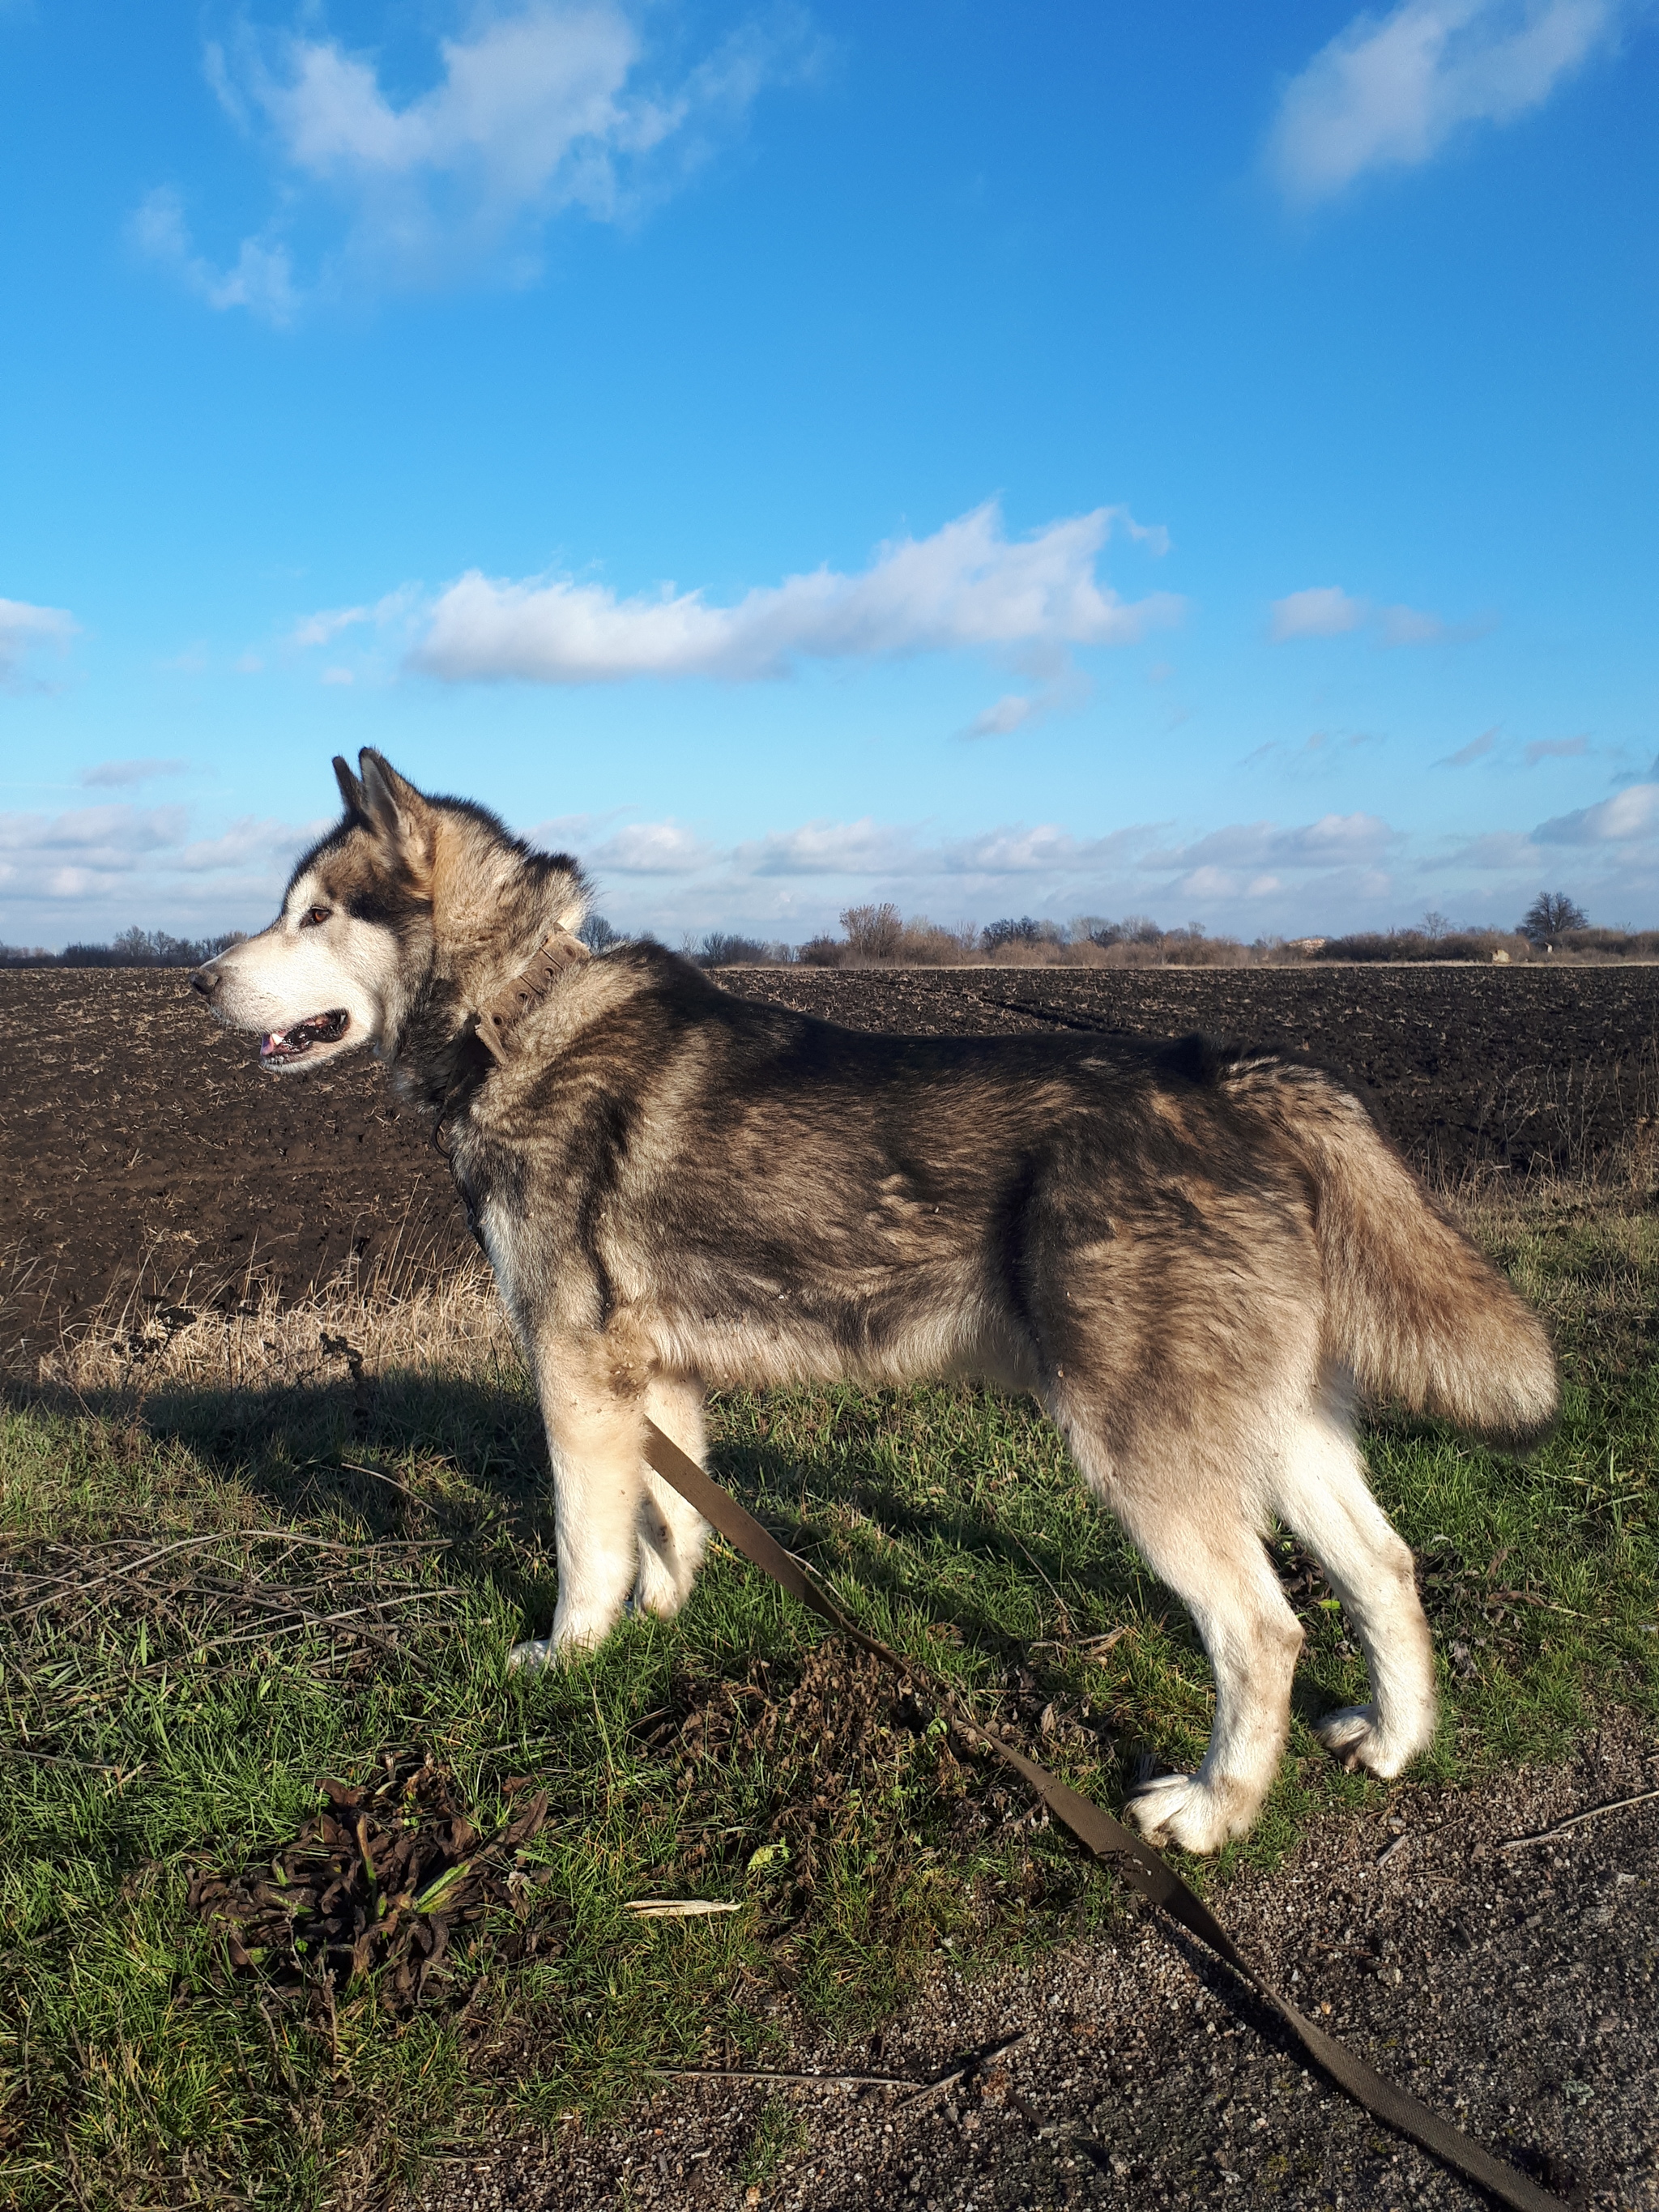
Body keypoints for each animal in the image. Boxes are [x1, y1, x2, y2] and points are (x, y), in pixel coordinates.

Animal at [194, 752, 1557, 1858]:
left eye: (315, 914)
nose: (200, 978)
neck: (513, 1010)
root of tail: (1231, 1076)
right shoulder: (654, 1377)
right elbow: (669, 1522)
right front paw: (663, 1621)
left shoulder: (573, 1368)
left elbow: (587, 1542)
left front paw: (571, 1655)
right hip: (1278, 1428)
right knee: (1386, 1567)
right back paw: (1394, 1738)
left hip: (1143, 1449)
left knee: (1264, 1631)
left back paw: (1214, 1809)